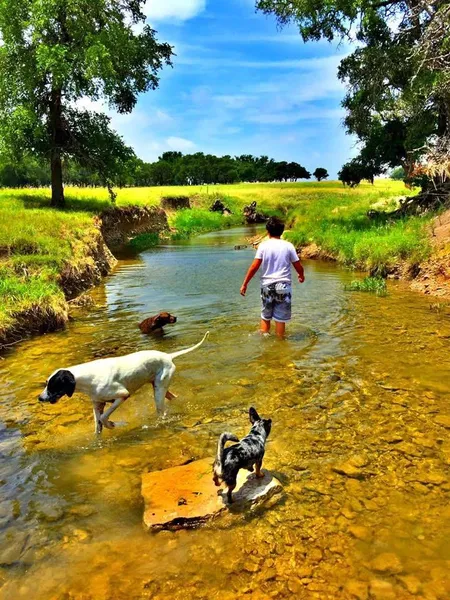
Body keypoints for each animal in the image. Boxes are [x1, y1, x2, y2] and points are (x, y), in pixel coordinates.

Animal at [38, 332, 209, 434]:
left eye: (52, 385)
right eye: (46, 383)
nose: (40, 398)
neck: (87, 378)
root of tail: (167, 356)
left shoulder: (122, 396)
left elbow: (104, 418)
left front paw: (115, 425)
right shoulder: (97, 404)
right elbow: (97, 426)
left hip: (158, 392)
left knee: (162, 411)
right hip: (160, 387)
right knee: (173, 397)